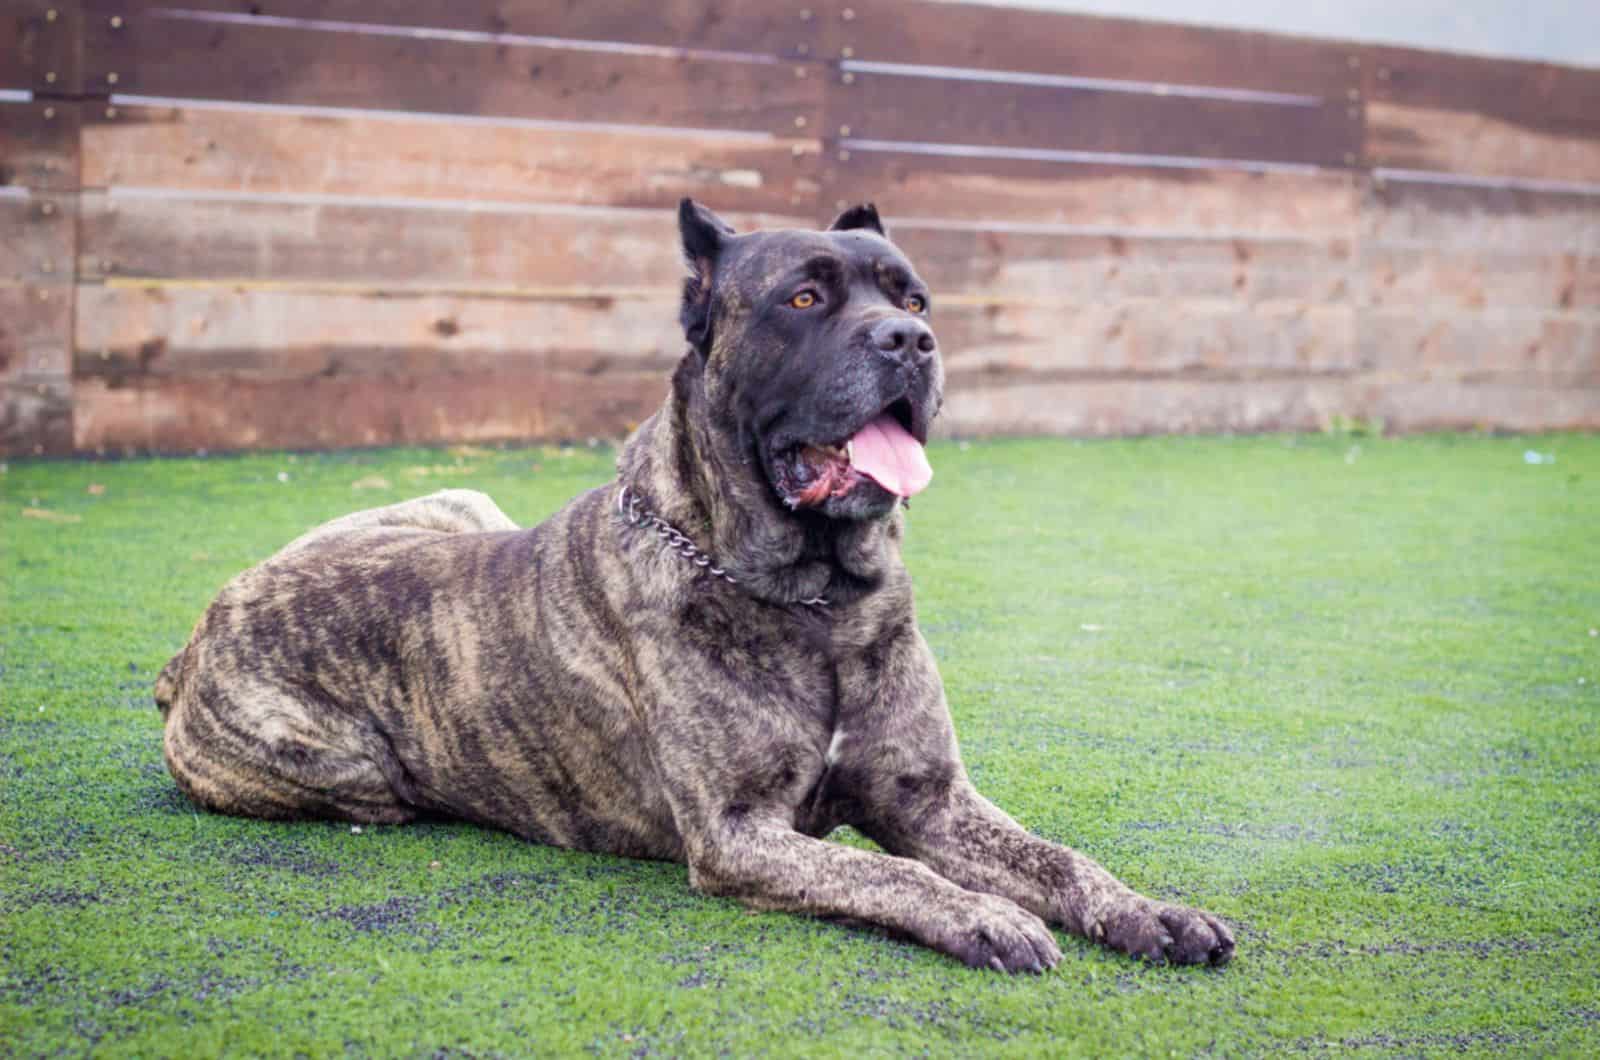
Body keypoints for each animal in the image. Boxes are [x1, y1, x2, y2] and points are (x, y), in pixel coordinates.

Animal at [156, 199, 1235, 973]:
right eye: (803, 300)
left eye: (916, 300)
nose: (907, 343)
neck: (815, 596)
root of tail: (199, 632)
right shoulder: (737, 832)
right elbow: (879, 868)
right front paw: (984, 914)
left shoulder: (931, 799)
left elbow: (1058, 855)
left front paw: (1150, 911)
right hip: (356, 774)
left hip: (462, 500)